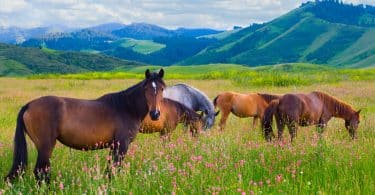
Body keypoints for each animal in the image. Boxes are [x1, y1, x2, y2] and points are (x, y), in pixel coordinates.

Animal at [5, 69, 167, 183]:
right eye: (146, 89)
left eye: (161, 89)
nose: (155, 114)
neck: (126, 107)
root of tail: (29, 105)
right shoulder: (122, 144)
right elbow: (115, 168)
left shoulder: (114, 145)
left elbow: (110, 169)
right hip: (46, 147)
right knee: (40, 172)